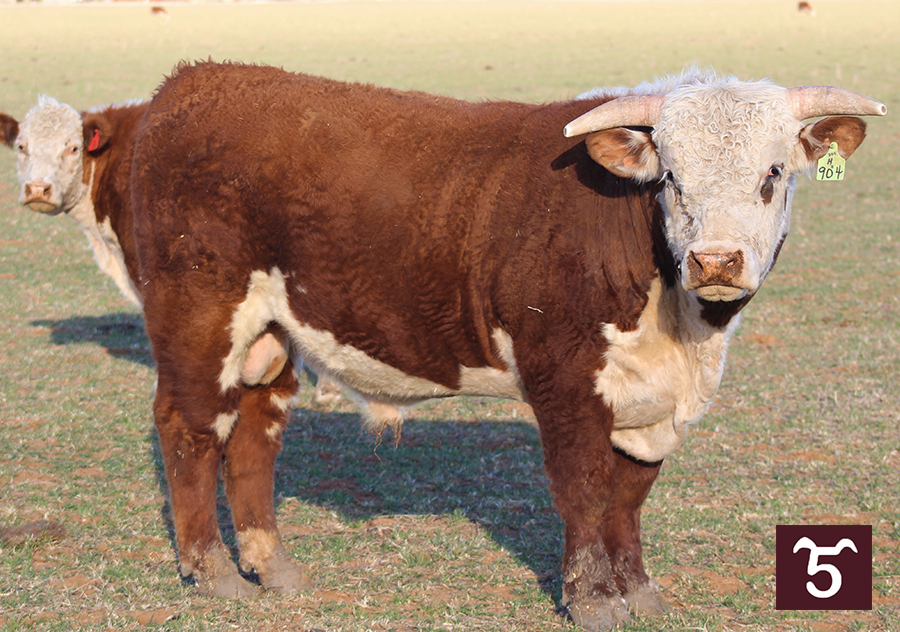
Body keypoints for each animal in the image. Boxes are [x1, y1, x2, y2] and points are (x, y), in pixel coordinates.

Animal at [129, 61, 884, 630]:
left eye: (773, 175)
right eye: (671, 178)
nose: (716, 260)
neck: (681, 329)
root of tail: (193, 81)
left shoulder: (653, 406)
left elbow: (629, 495)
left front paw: (639, 591)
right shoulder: (566, 381)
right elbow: (584, 487)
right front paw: (592, 599)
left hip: (273, 335)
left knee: (254, 433)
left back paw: (273, 566)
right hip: (200, 316)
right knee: (190, 427)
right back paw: (213, 571)